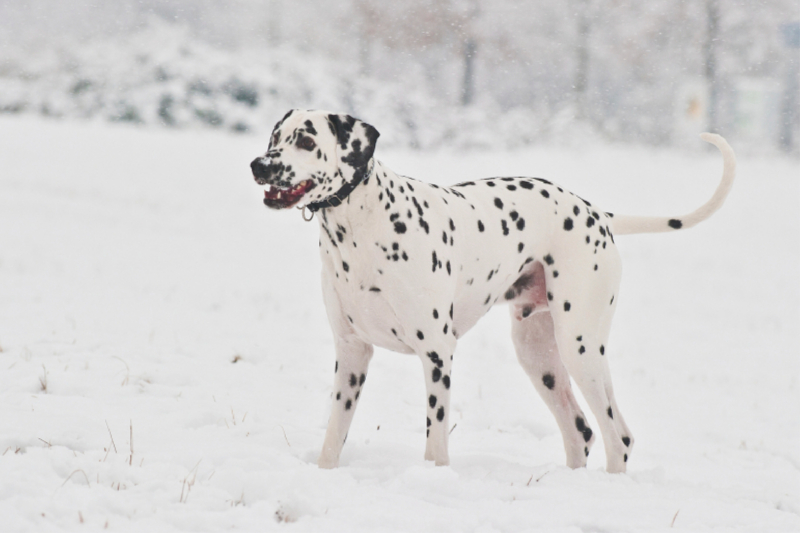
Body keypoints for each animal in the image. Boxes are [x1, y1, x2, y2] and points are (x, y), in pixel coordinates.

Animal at [250, 109, 736, 474]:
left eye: (306, 141)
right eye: (275, 136)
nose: (260, 164)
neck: (362, 226)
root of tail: (597, 212)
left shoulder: (437, 353)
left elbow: (435, 442)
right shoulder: (351, 354)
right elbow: (334, 434)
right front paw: (325, 472)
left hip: (580, 347)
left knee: (618, 436)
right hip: (539, 356)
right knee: (581, 431)